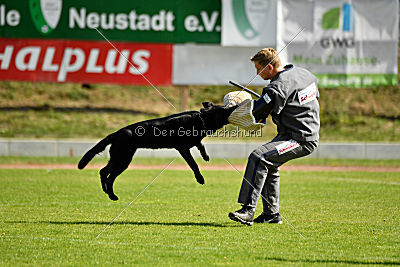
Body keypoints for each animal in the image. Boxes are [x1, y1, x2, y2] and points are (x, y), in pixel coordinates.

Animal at [77, 102, 238, 201]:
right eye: (224, 110)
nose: (236, 106)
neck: (201, 119)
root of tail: (116, 133)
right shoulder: (183, 149)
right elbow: (193, 164)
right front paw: (200, 178)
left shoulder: (193, 143)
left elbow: (201, 145)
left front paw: (205, 156)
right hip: (123, 160)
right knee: (109, 176)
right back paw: (112, 195)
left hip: (119, 158)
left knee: (103, 171)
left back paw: (106, 191)